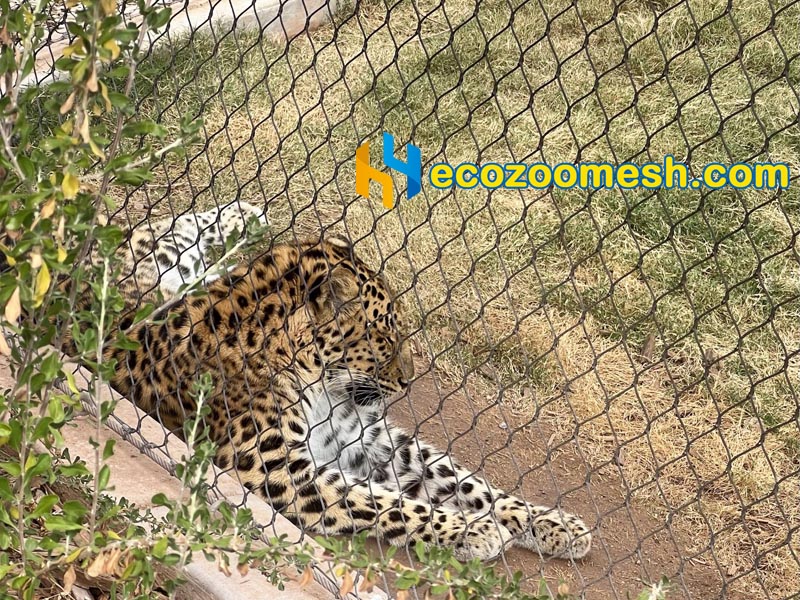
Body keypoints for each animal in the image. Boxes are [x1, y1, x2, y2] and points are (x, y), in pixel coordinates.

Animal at [102, 234, 593, 562]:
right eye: (385, 336)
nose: (410, 380)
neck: (324, 386)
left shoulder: (369, 442)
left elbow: (463, 481)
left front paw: (555, 524)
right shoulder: (276, 470)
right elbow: (386, 503)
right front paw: (475, 530)